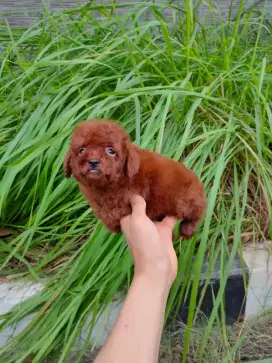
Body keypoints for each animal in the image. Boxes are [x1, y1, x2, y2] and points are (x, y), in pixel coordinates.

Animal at [63, 119, 206, 239]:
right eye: (81, 150)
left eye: (111, 151)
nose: (93, 162)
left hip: (190, 202)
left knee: (195, 215)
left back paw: (187, 229)